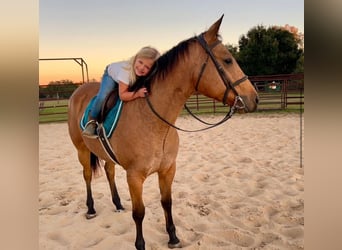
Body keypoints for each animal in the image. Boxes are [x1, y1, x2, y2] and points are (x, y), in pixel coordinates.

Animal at [67, 16, 260, 250]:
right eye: (228, 60)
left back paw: (118, 203)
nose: (254, 98)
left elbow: (167, 202)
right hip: (81, 150)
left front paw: (173, 237)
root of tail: (77, 91)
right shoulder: (134, 177)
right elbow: (139, 213)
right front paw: (140, 244)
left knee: (109, 171)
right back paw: (91, 208)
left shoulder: (168, 170)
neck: (154, 122)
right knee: (87, 175)